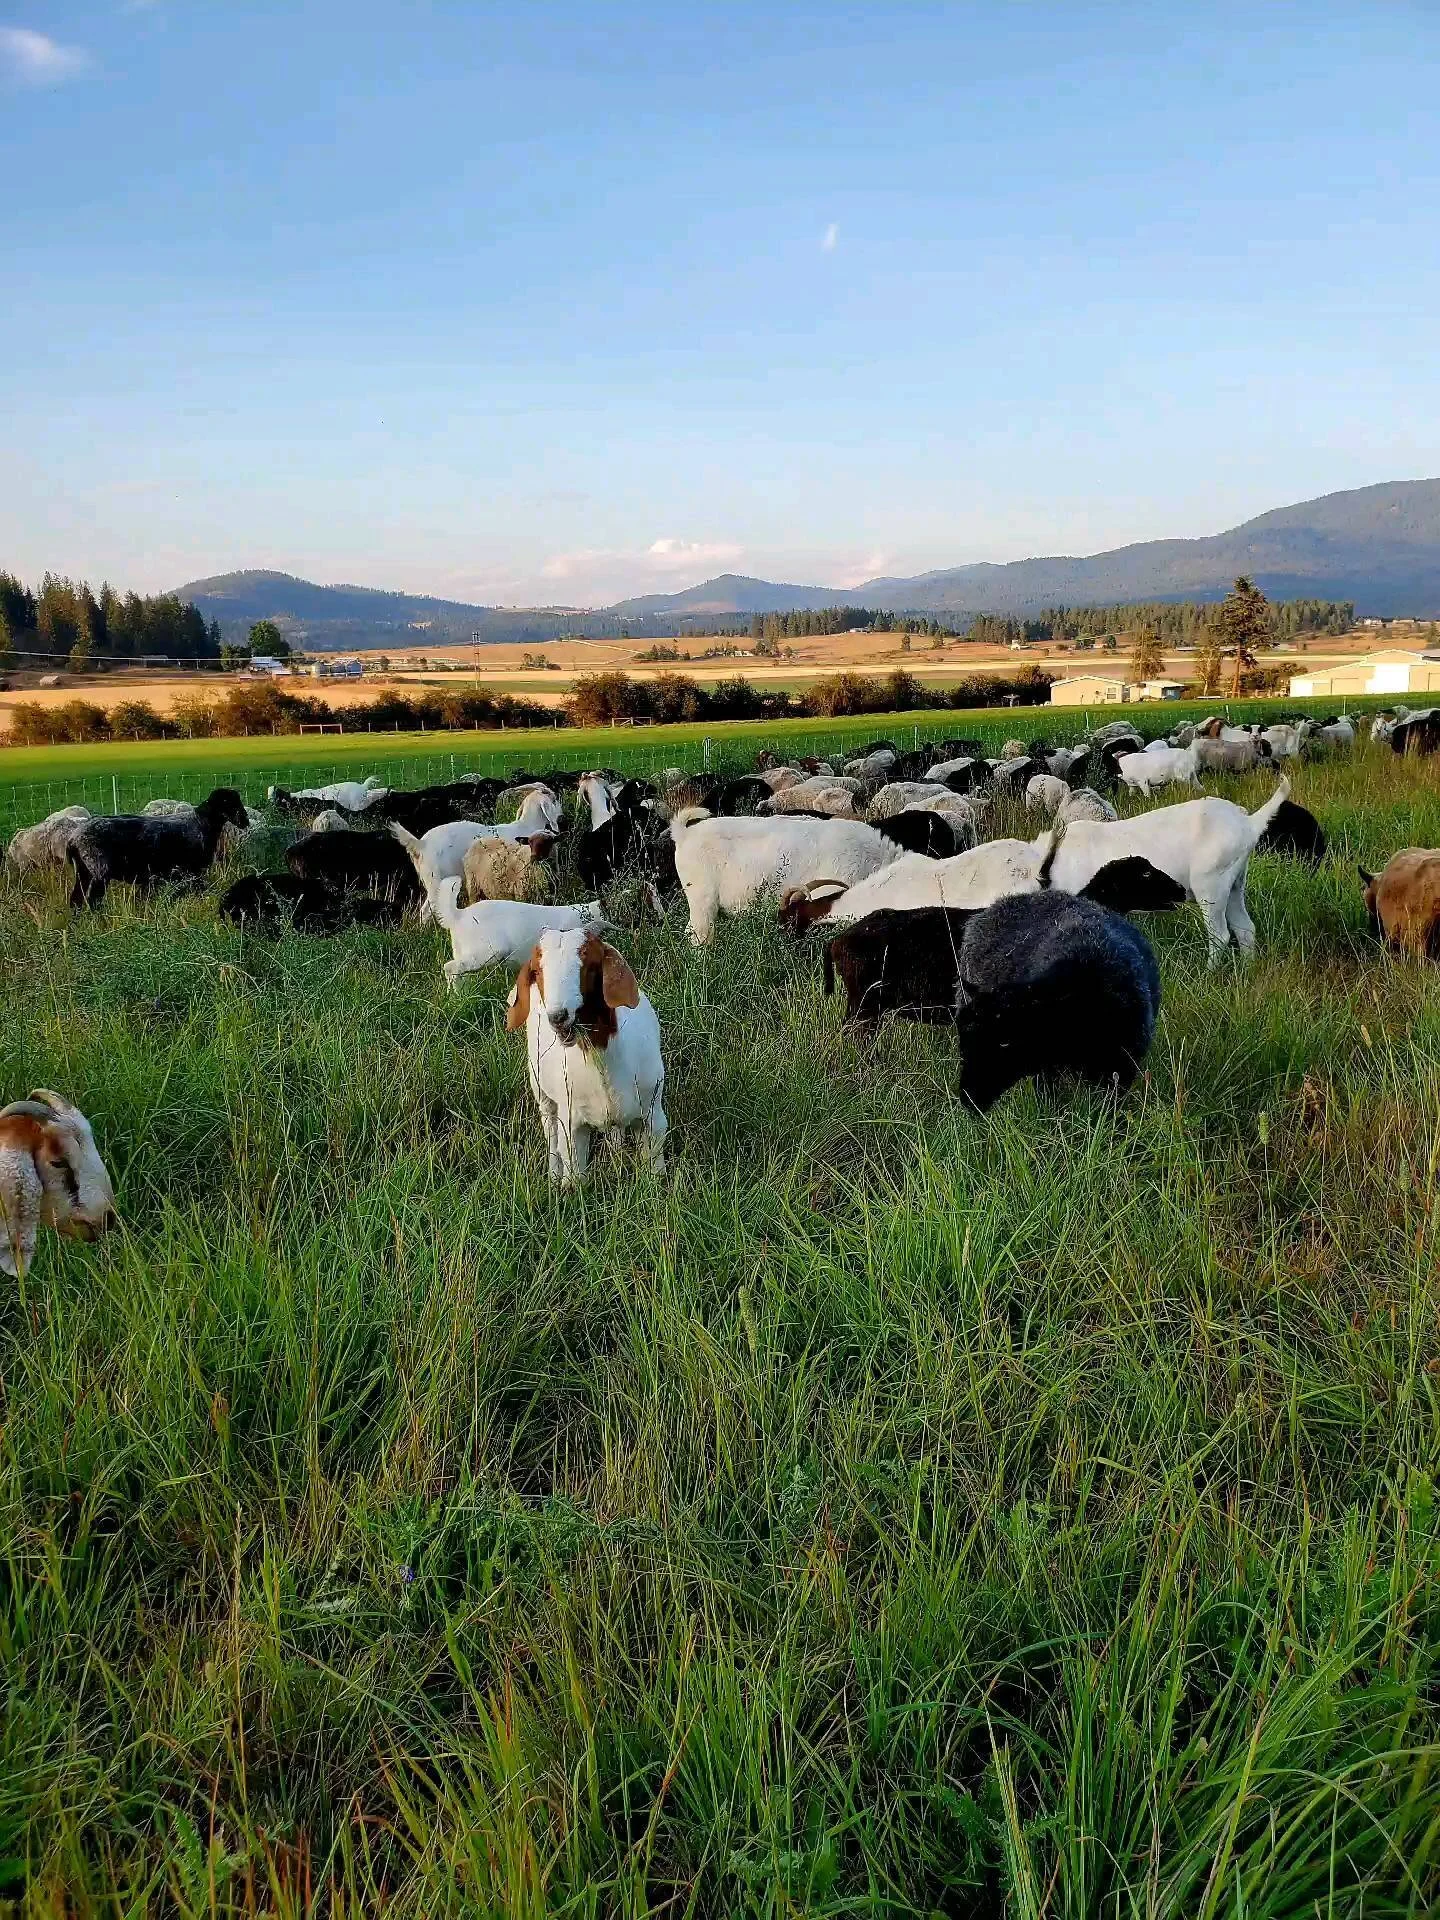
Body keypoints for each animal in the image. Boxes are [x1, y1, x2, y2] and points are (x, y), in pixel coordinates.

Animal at [67, 788, 250, 909]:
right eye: (228, 802)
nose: (245, 821)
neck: (202, 823)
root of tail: (74, 838)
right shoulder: (193, 871)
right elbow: (199, 892)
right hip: (99, 870)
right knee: (93, 901)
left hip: (84, 871)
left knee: (76, 900)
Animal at [506, 927, 667, 1184]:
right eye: (537, 971)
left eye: (590, 965)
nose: (558, 1017)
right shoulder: (571, 1124)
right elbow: (574, 1176)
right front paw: (566, 1188)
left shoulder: (654, 1113)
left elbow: (655, 1168)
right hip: (540, 1089)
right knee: (550, 1130)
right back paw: (553, 1177)